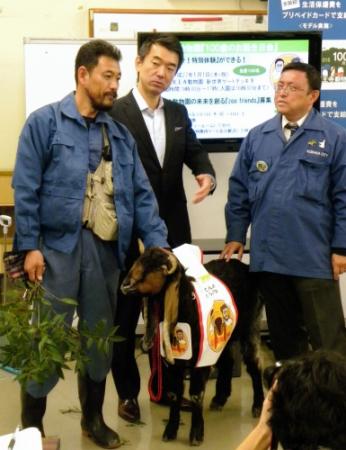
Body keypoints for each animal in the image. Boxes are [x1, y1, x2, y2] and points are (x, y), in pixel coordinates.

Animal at [120, 250, 264, 446]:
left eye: (157, 266)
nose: (125, 284)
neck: (187, 308)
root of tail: (246, 268)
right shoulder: (172, 363)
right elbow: (174, 394)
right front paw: (170, 430)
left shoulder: (201, 359)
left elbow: (196, 394)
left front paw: (196, 434)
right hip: (223, 337)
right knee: (227, 362)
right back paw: (219, 399)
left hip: (249, 326)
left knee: (254, 364)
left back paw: (258, 405)